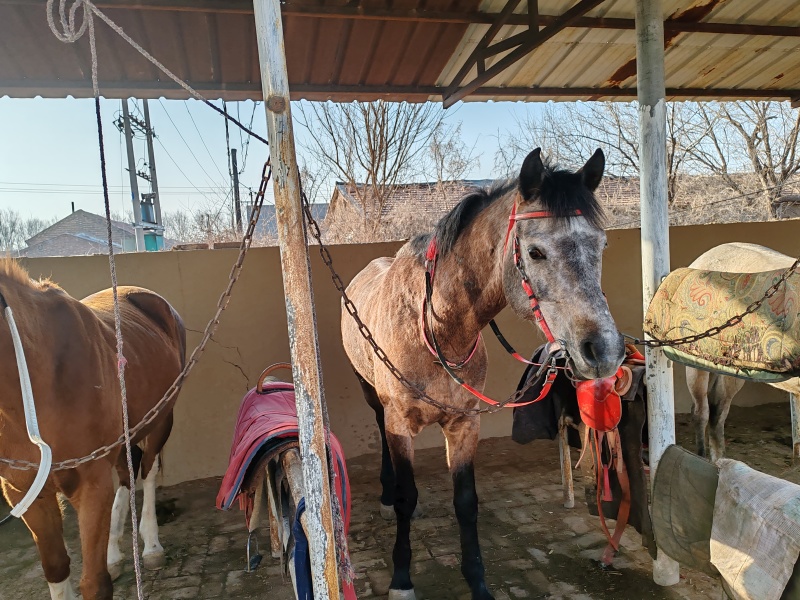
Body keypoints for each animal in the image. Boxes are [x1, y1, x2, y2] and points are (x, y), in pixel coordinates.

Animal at [0, 260, 186, 600]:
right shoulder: (26, 493)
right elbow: (56, 567)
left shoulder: (91, 485)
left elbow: (95, 583)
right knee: (127, 473)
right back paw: (114, 552)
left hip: (161, 418)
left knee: (147, 470)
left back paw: (151, 545)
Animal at [341, 148, 625, 600]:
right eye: (535, 252)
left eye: (601, 244)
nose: (604, 350)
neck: (437, 329)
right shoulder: (399, 422)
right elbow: (406, 497)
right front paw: (401, 579)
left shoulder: (464, 425)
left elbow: (466, 502)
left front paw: (477, 580)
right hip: (372, 396)